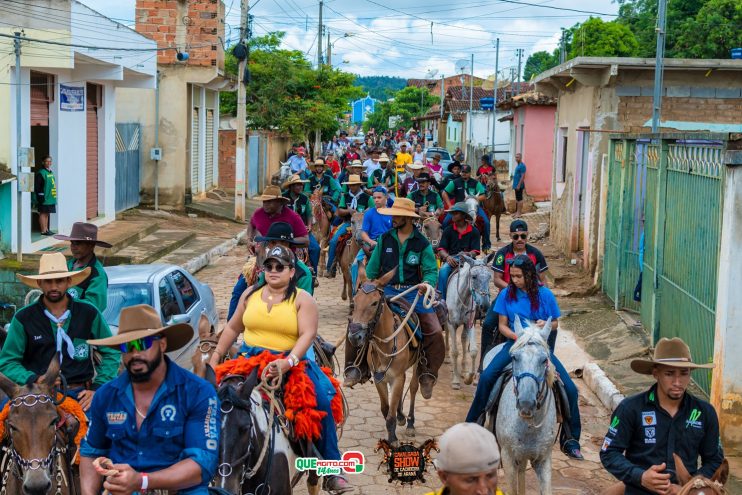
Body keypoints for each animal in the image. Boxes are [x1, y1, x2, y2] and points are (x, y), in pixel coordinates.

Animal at [348, 270, 418, 448]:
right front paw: (392, 431)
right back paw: (401, 416)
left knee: (413, 387)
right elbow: (386, 409)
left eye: (374, 303)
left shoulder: (397, 377)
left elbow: (390, 413)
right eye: (354, 302)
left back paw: (410, 423)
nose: (354, 336)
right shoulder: (380, 378)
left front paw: (392, 439)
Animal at [444, 258, 496, 390]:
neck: (462, 297)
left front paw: (468, 378)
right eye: (474, 276)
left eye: (489, 277)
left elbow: (473, 351)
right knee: (446, 332)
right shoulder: (452, 324)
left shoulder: (470, 323)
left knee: (463, 339)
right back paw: (446, 356)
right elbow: (455, 352)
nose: (485, 305)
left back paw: (463, 370)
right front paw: (456, 380)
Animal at [492, 318, 560, 495]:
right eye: (514, 358)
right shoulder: (508, 457)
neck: (529, 427)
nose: (526, 404)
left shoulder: (543, 460)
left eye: (544, 360)